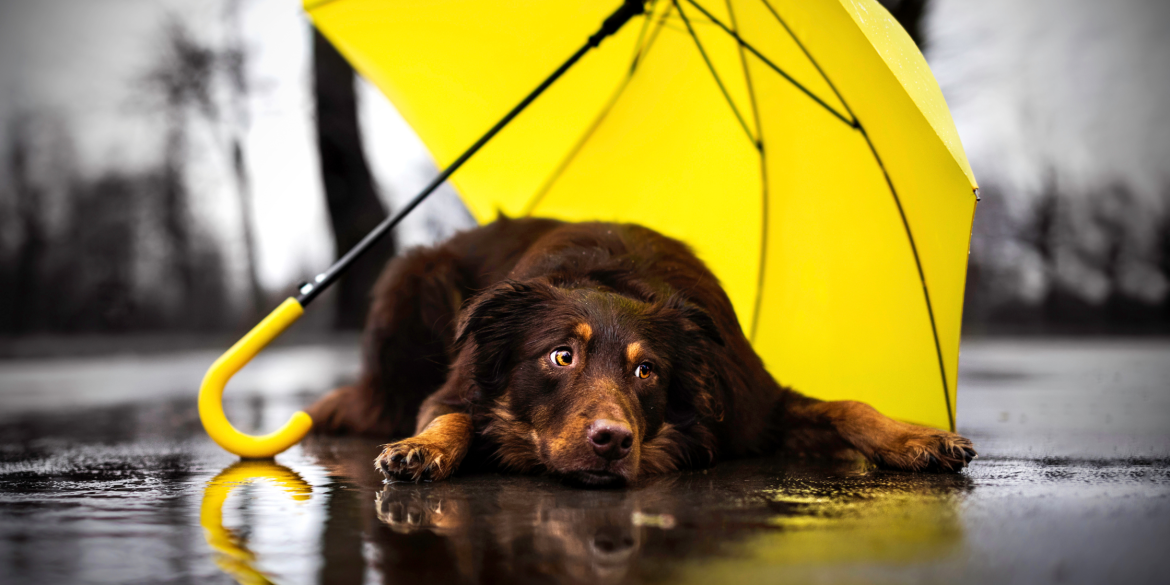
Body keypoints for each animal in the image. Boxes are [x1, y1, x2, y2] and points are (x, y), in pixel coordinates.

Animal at [306, 217, 973, 486]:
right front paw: (425, 449)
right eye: (561, 357)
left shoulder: (755, 404)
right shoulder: (457, 383)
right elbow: (453, 414)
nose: (612, 442)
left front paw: (915, 438)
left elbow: (847, 406)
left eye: (646, 370)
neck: (610, 279)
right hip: (413, 278)